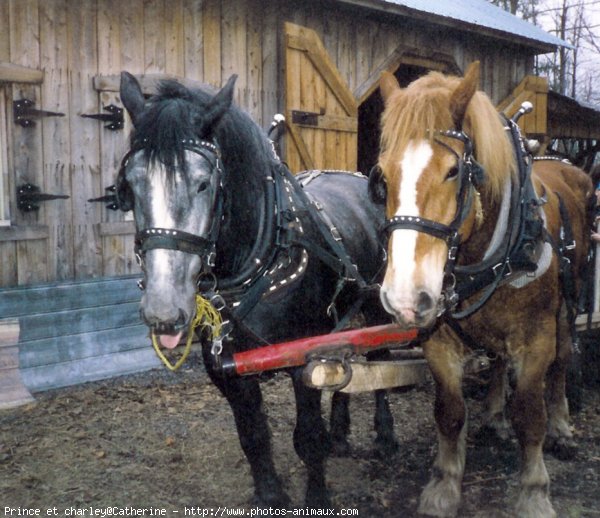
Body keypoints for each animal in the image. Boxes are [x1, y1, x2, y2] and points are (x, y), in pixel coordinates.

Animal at [118, 73, 394, 508]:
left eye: (203, 183)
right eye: (130, 184)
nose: (164, 310)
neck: (260, 256)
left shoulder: (303, 356)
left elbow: (307, 439)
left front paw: (317, 495)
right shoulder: (226, 367)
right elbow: (253, 436)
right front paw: (270, 494)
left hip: (378, 304)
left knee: (380, 357)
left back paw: (384, 434)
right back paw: (341, 430)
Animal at [370, 63, 592, 516]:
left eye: (454, 171)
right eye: (382, 175)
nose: (404, 298)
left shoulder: (535, 338)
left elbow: (530, 413)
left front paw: (534, 491)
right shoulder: (437, 338)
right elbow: (450, 411)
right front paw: (444, 484)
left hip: (567, 305)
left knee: (562, 362)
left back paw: (561, 426)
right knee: (498, 361)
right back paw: (492, 414)